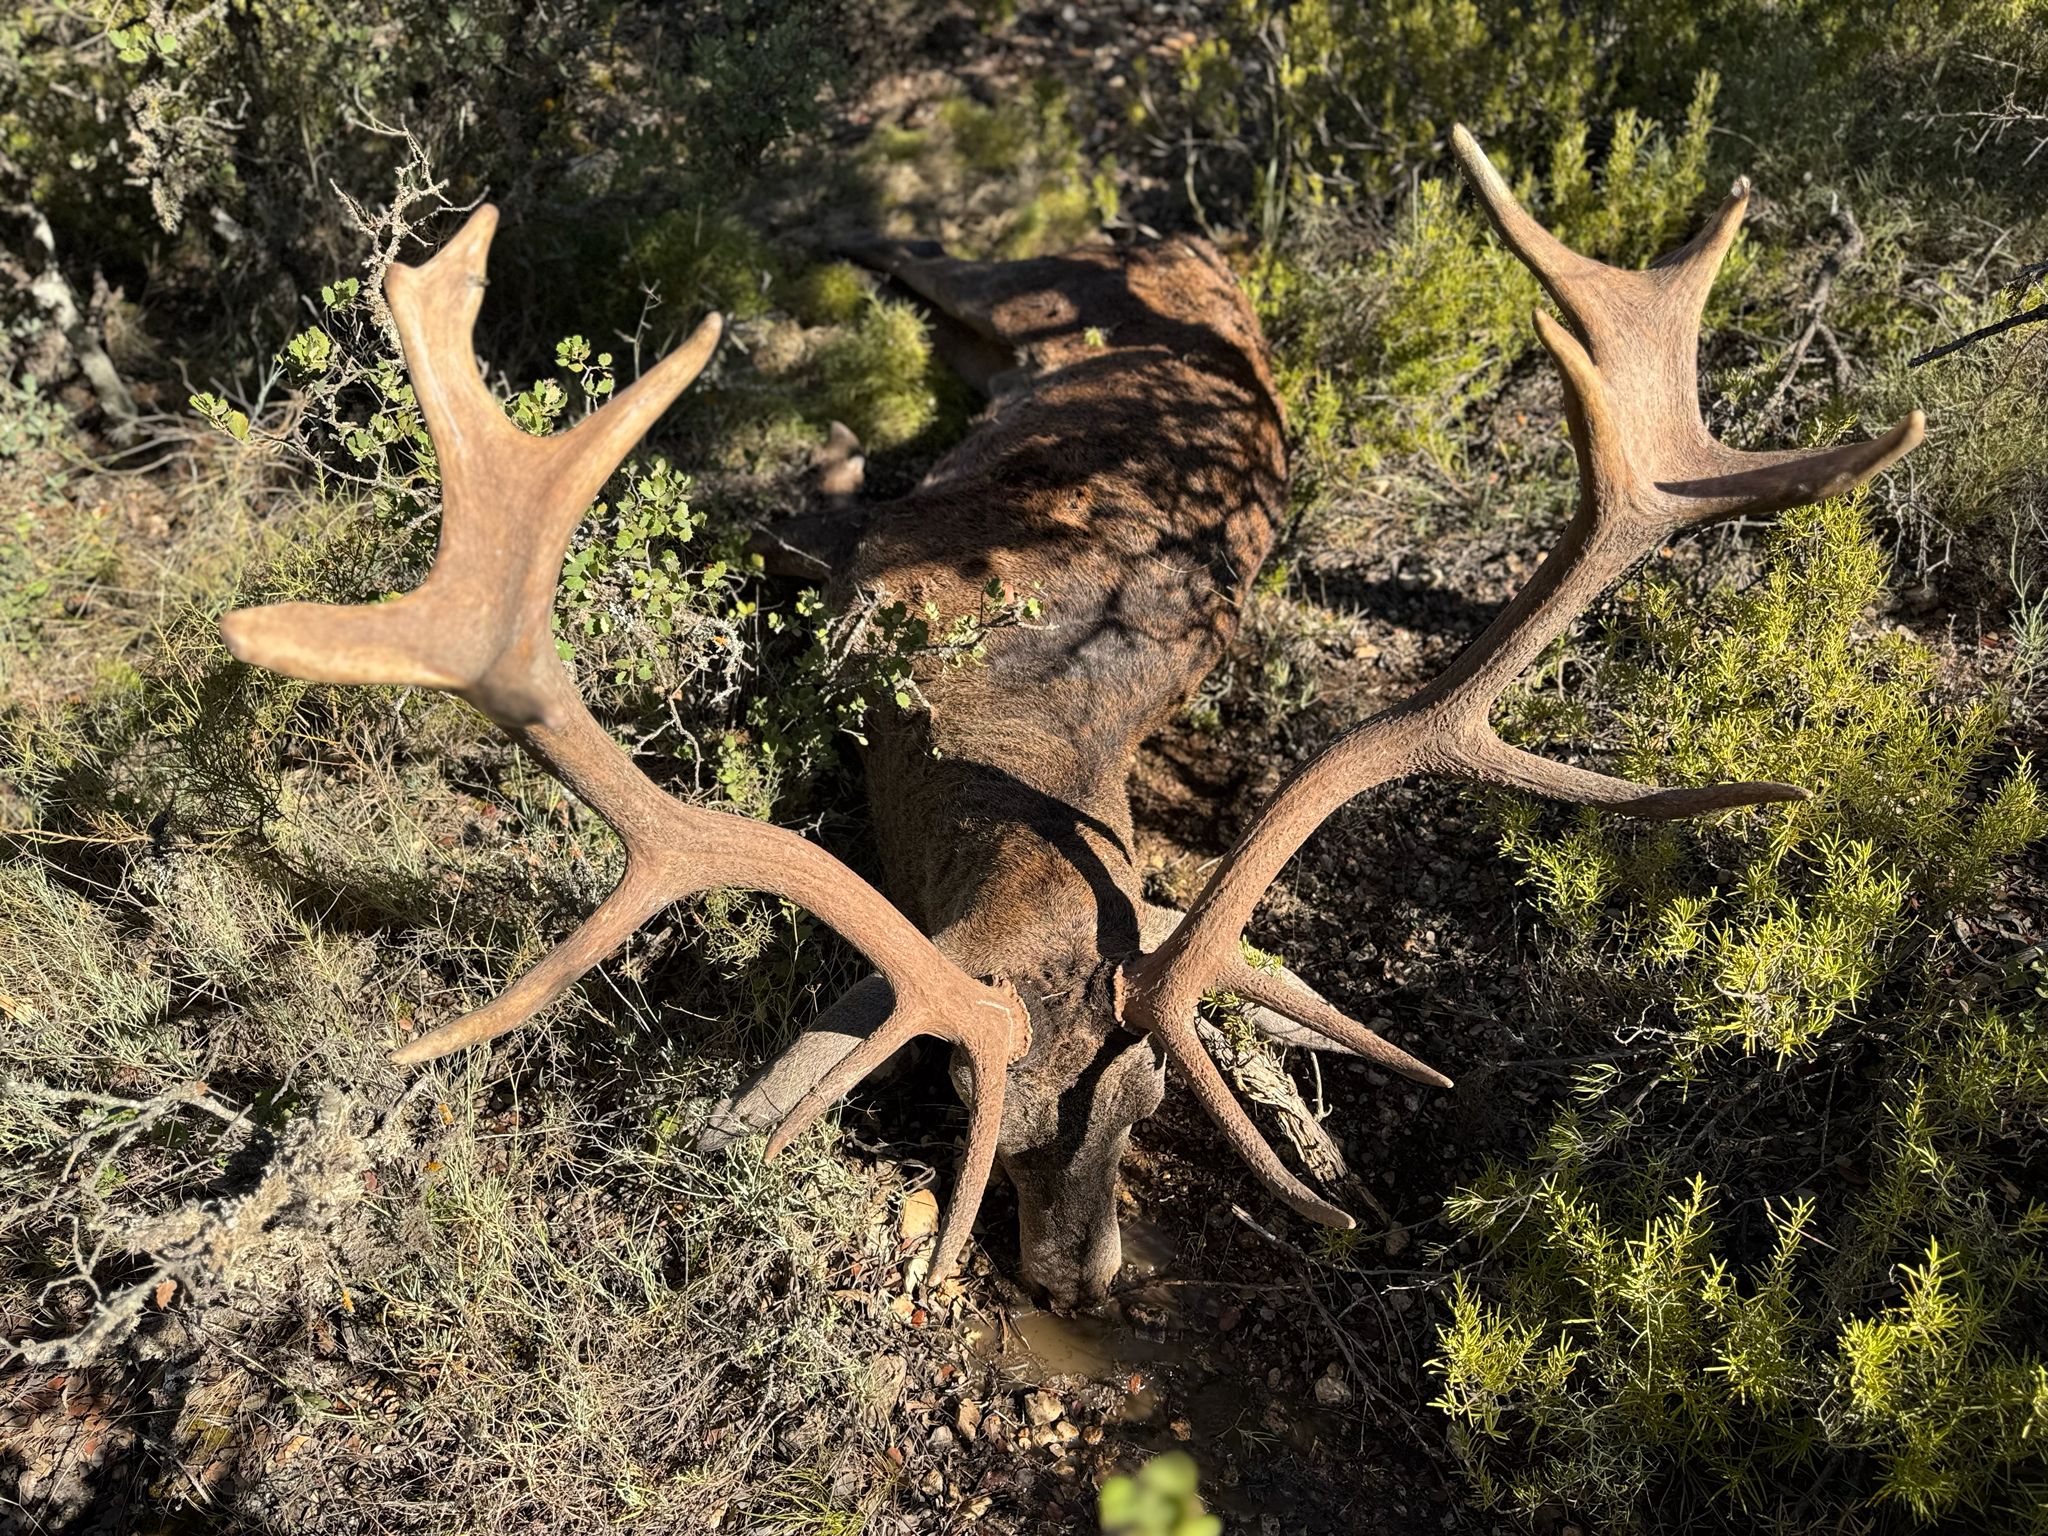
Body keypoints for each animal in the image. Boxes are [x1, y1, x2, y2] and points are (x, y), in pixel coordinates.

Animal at [219, 128, 1923, 1313]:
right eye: (985, 1109)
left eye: (1156, 1102)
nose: (1080, 1281)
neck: (1001, 730)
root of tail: (1173, 232)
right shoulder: (870, 571)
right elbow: (817, 505)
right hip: (1019, 287)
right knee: (933, 249)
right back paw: (844, 234)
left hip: (1043, 312)